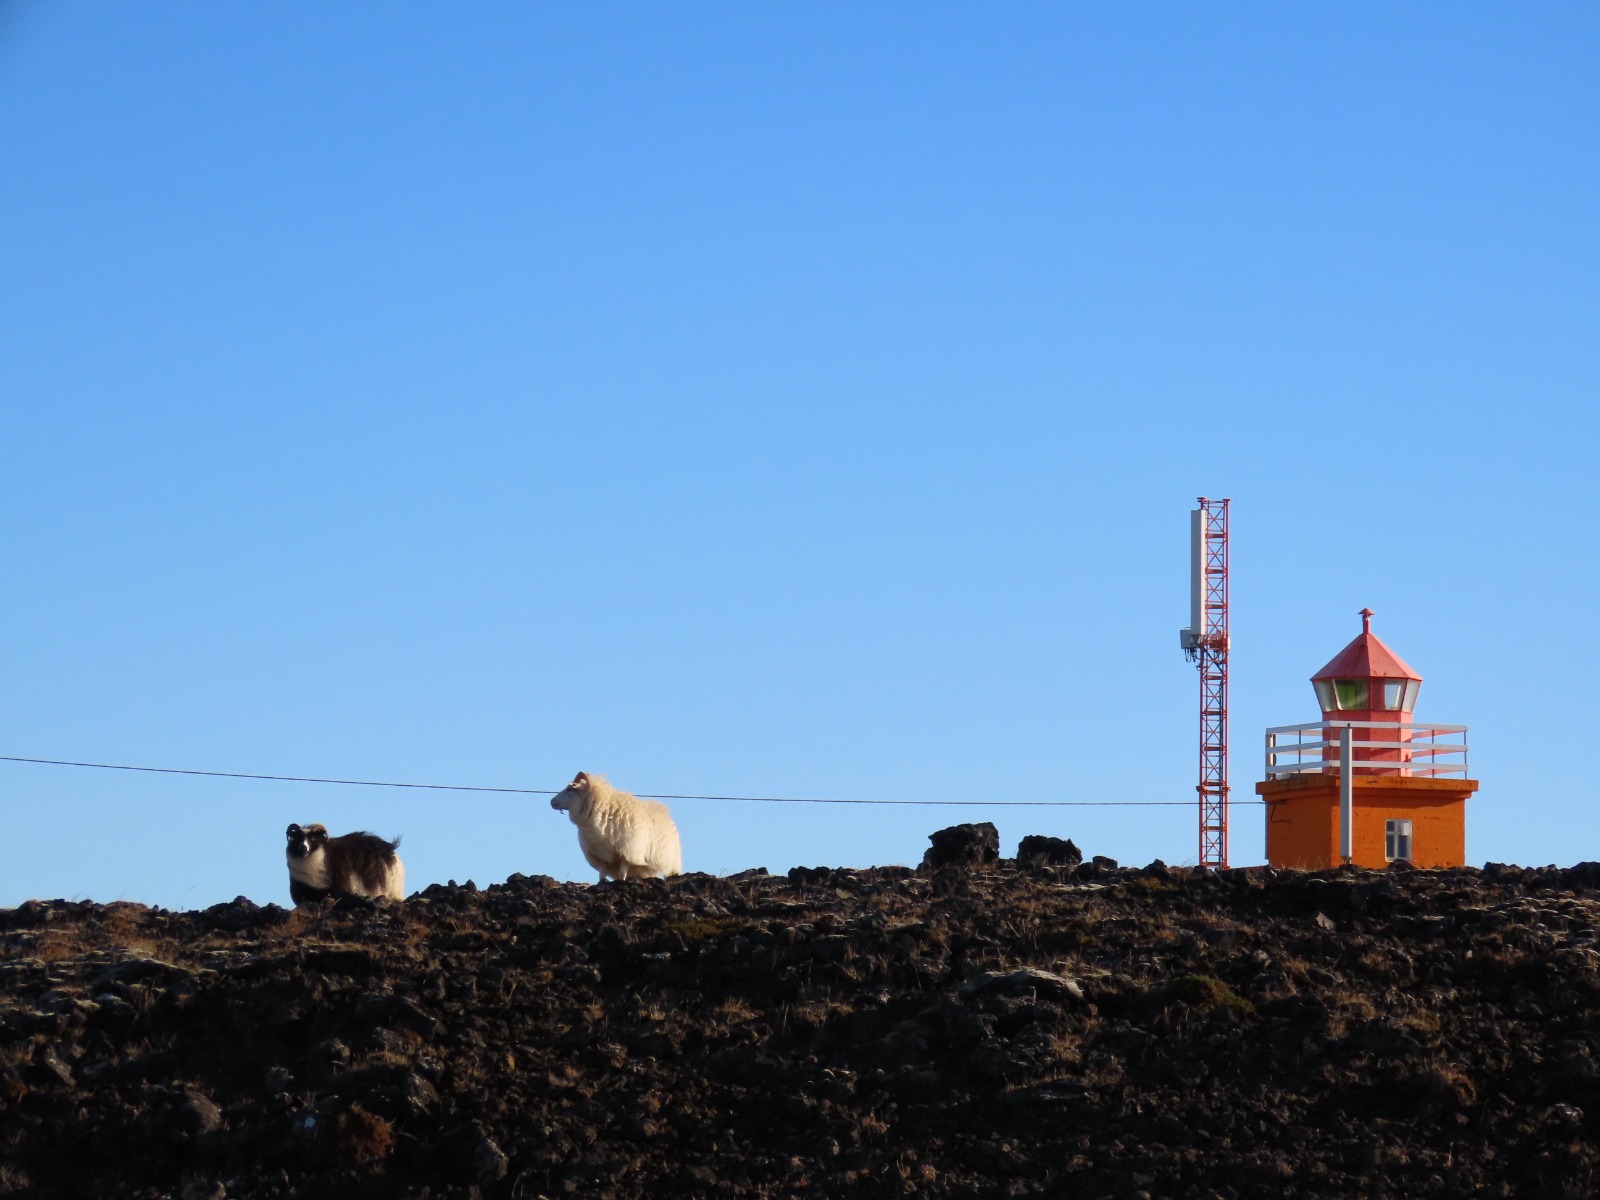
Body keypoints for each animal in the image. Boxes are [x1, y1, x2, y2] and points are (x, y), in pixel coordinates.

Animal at [550, 771, 681, 883]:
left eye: (570, 789)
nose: (551, 801)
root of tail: (664, 810)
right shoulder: (601, 855)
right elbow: (602, 875)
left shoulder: (627, 853)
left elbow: (622, 874)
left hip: (671, 864)